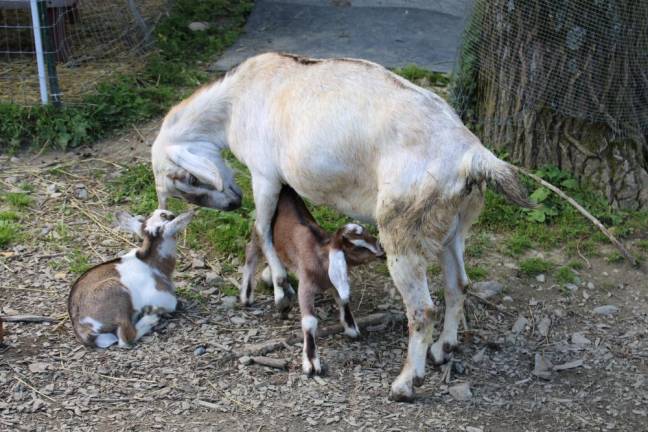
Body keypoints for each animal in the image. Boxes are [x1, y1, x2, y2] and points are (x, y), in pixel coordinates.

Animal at [152, 53, 532, 402]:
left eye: (187, 179)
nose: (232, 203)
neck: (236, 98)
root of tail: (472, 155)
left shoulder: (264, 174)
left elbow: (262, 227)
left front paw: (279, 290)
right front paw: (270, 280)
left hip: (402, 228)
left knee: (422, 309)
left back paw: (405, 383)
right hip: (454, 225)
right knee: (458, 285)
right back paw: (443, 349)